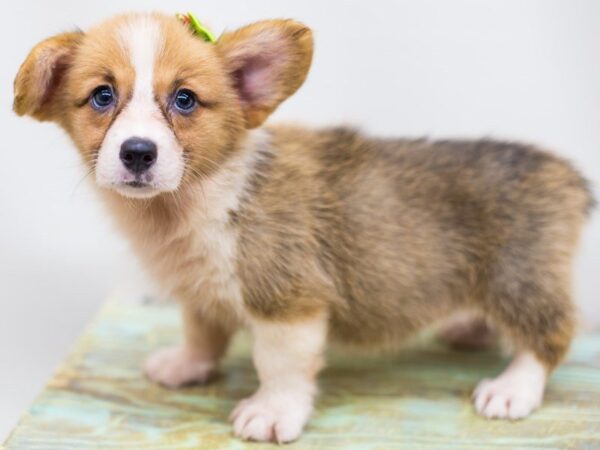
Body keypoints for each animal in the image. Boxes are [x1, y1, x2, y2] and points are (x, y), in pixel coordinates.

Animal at [14, 11, 596, 442]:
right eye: (102, 96)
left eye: (184, 100)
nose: (137, 152)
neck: (191, 200)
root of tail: (566, 175)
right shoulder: (201, 293)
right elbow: (202, 333)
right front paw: (185, 366)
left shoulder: (287, 304)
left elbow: (279, 367)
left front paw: (271, 414)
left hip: (519, 278)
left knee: (552, 334)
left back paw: (513, 389)